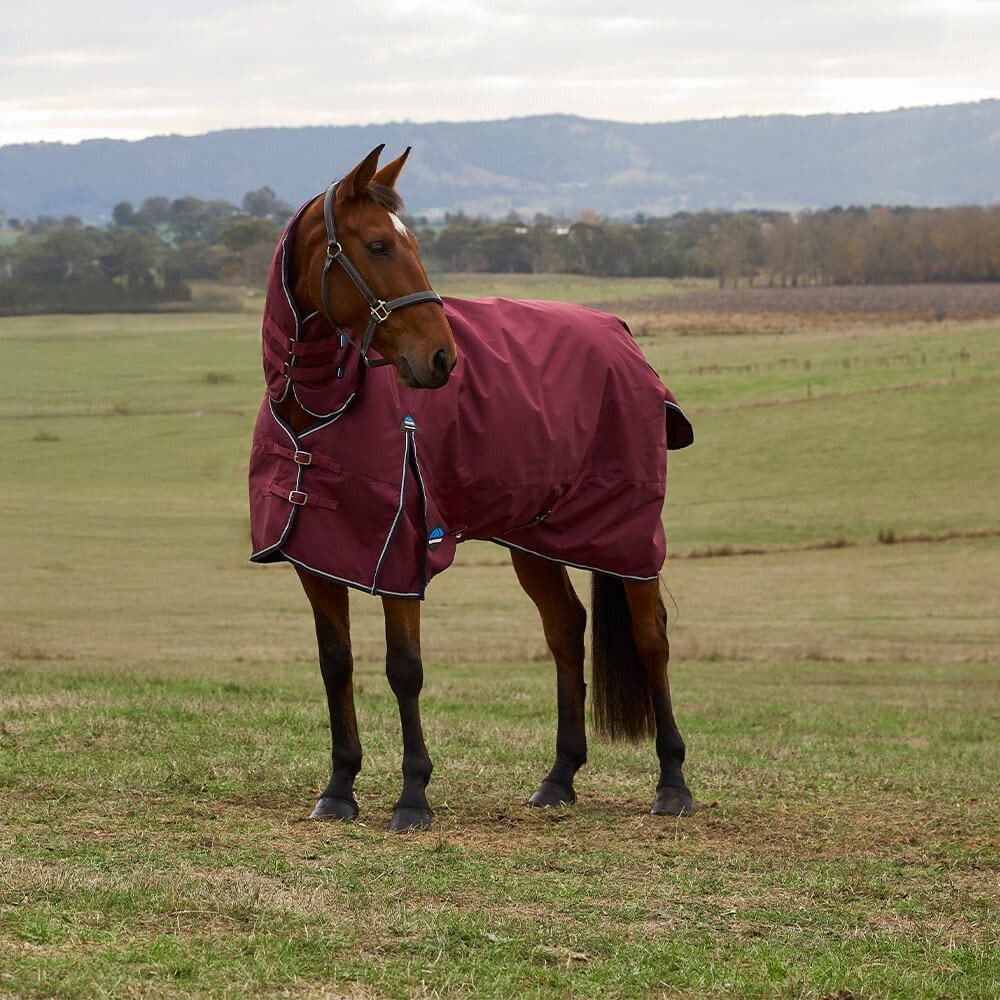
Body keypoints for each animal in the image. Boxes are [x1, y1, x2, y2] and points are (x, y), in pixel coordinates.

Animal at [248, 145, 694, 832]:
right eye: (378, 245)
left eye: (411, 243)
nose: (442, 358)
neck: (322, 404)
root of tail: (620, 333)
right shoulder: (318, 556)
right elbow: (335, 664)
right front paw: (340, 788)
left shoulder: (399, 555)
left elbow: (404, 670)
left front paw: (413, 796)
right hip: (536, 539)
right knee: (565, 629)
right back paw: (559, 777)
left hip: (627, 535)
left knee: (652, 638)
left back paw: (672, 783)